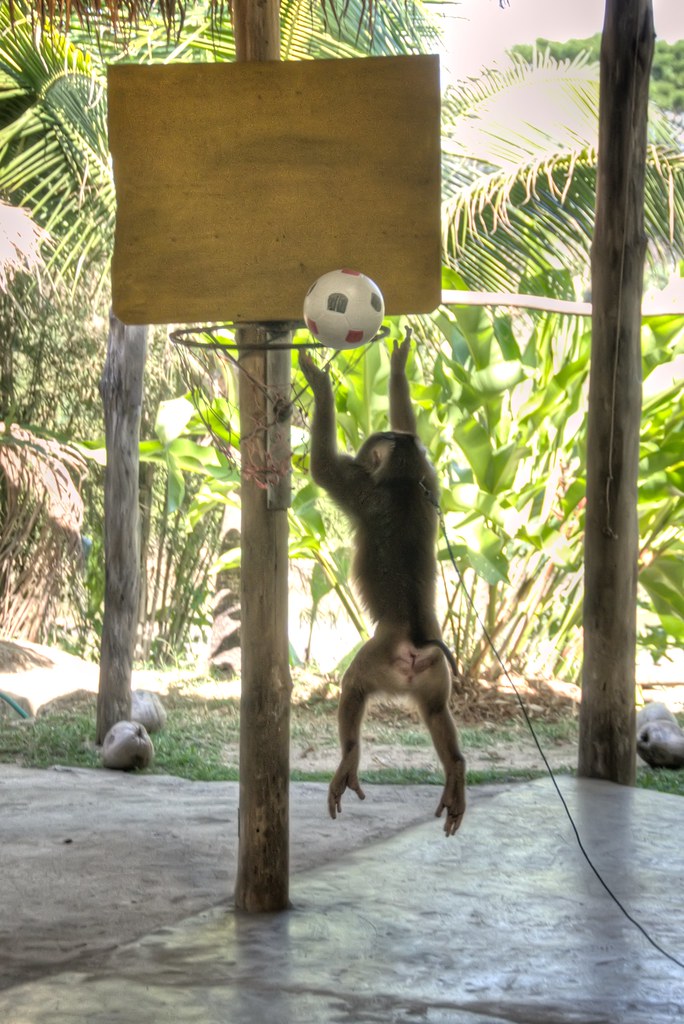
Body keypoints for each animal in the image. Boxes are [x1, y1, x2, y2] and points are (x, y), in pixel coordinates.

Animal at [299, 337, 466, 836]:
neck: (404, 482)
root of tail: (416, 639)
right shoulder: (430, 477)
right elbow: (410, 422)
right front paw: (397, 367)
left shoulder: (358, 486)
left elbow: (322, 468)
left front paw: (318, 382)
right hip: (435, 672)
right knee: (436, 712)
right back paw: (456, 773)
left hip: (381, 658)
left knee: (353, 685)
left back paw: (348, 760)